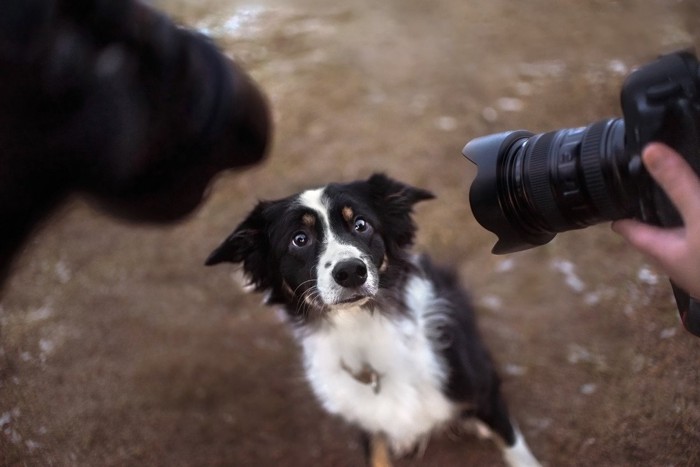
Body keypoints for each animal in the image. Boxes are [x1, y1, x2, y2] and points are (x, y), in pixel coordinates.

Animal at [205, 174, 540, 466]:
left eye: (361, 224)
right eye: (299, 239)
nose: (351, 271)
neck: (362, 327)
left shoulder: (478, 386)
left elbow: (514, 447)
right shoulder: (365, 417)